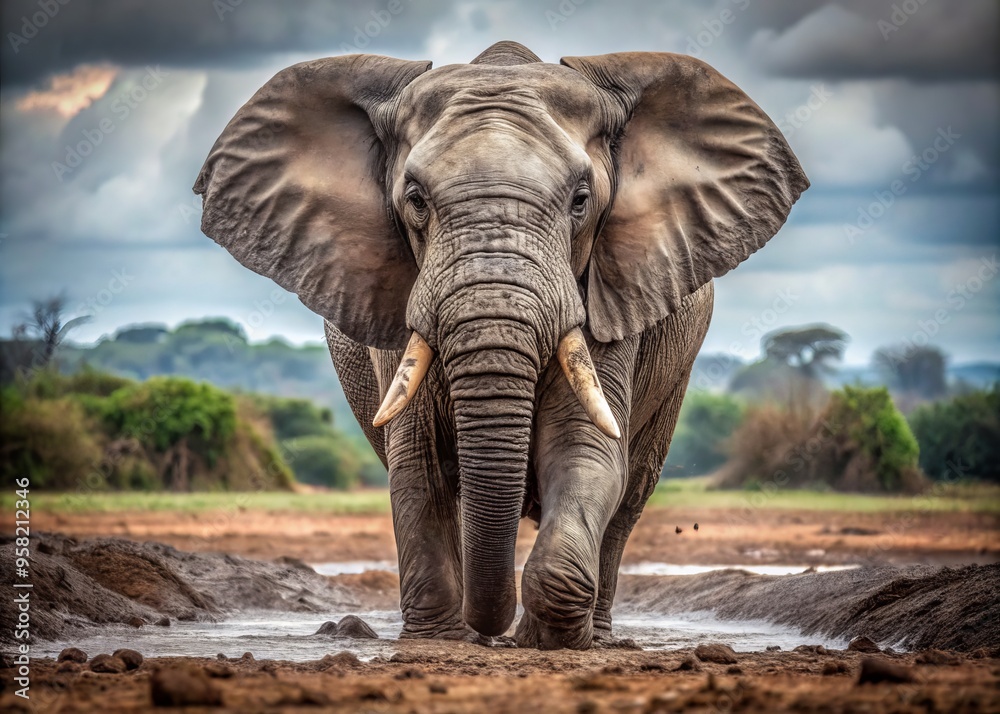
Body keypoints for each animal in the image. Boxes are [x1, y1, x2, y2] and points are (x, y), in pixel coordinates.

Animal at [194, 40, 808, 649]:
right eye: (414, 199)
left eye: (580, 200)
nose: (494, 629)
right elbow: (419, 466)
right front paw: (440, 639)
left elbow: (584, 451)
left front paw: (548, 638)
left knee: (631, 493)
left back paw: (597, 635)